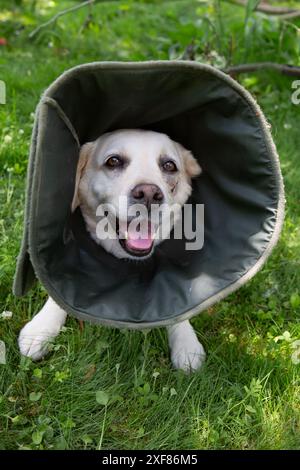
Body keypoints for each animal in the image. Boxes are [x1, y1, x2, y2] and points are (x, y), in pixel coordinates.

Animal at [18, 129, 206, 370]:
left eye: (169, 165)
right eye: (113, 161)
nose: (149, 194)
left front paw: (185, 343)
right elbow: (57, 294)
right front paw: (42, 328)